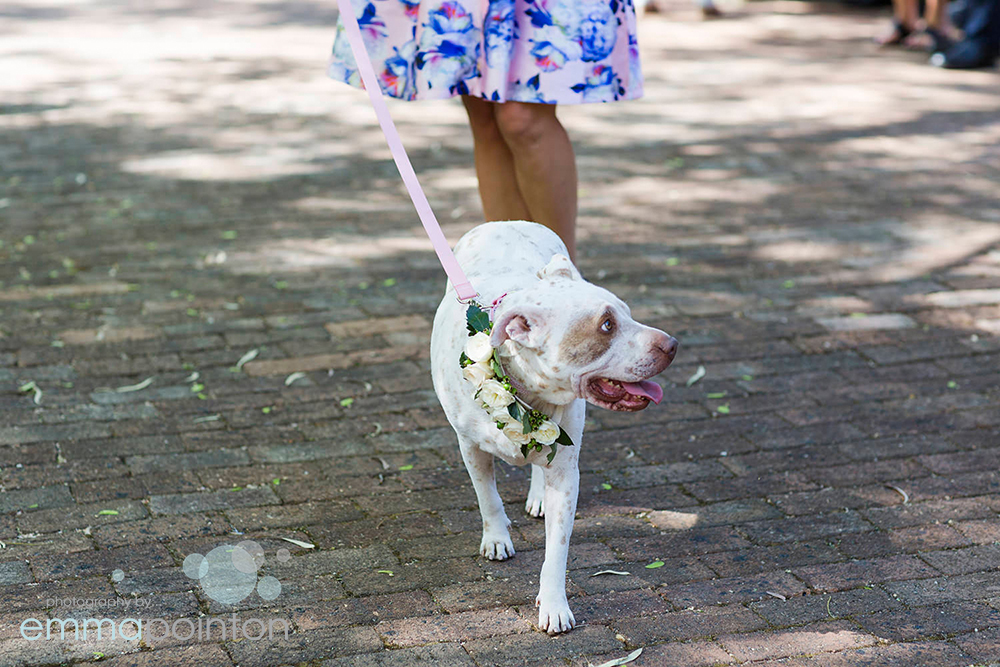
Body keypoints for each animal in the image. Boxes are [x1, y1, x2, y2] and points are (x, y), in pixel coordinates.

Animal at [432, 222, 680, 636]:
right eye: (607, 325)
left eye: (628, 314)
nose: (673, 344)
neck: (526, 390)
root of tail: (507, 222)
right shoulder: (470, 447)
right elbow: (487, 496)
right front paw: (496, 537)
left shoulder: (566, 472)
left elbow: (557, 550)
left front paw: (553, 605)